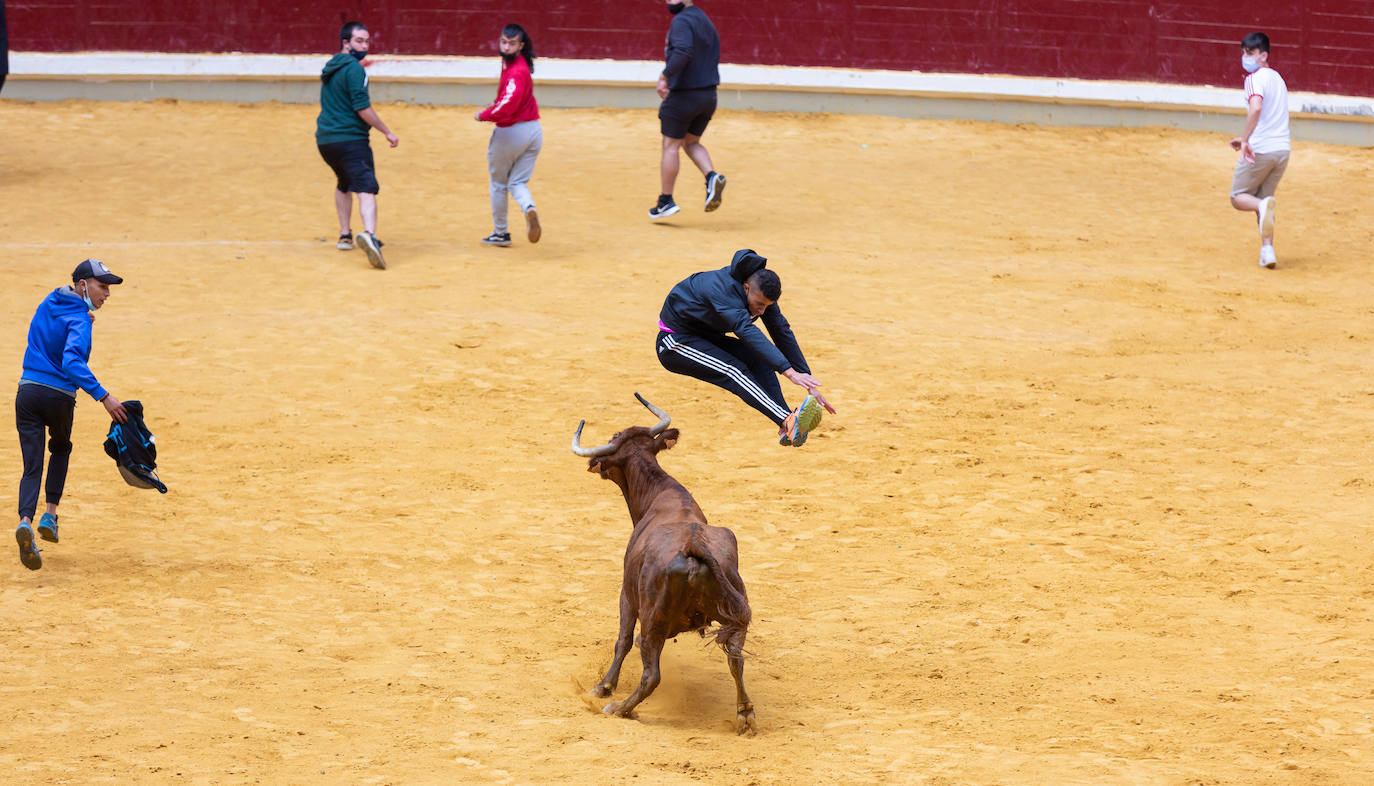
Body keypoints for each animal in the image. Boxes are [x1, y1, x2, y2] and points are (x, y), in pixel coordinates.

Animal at [571, 395, 763, 736]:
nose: (596, 466)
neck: (661, 495)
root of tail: (694, 547)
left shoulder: (626, 596)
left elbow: (623, 641)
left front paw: (603, 687)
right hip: (736, 612)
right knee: (736, 658)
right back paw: (745, 713)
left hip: (652, 621)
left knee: (651, 674)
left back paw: (619, 708)